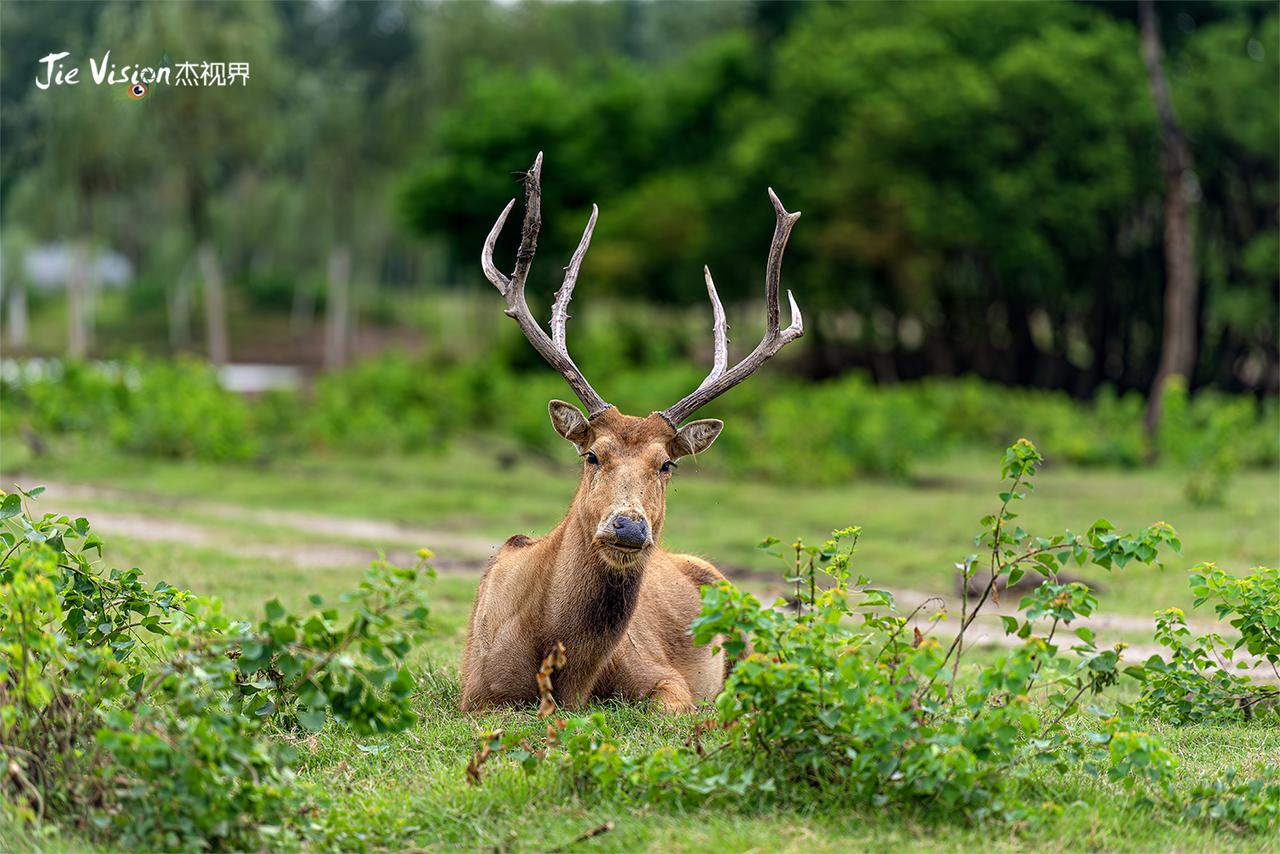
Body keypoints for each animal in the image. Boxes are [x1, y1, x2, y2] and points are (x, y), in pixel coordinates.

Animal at [458, 153, 798, 717]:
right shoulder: (476, 694)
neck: (565, 678)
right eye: (593, 455)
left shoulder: (665, 677)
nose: (629, 527)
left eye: (667, 463)